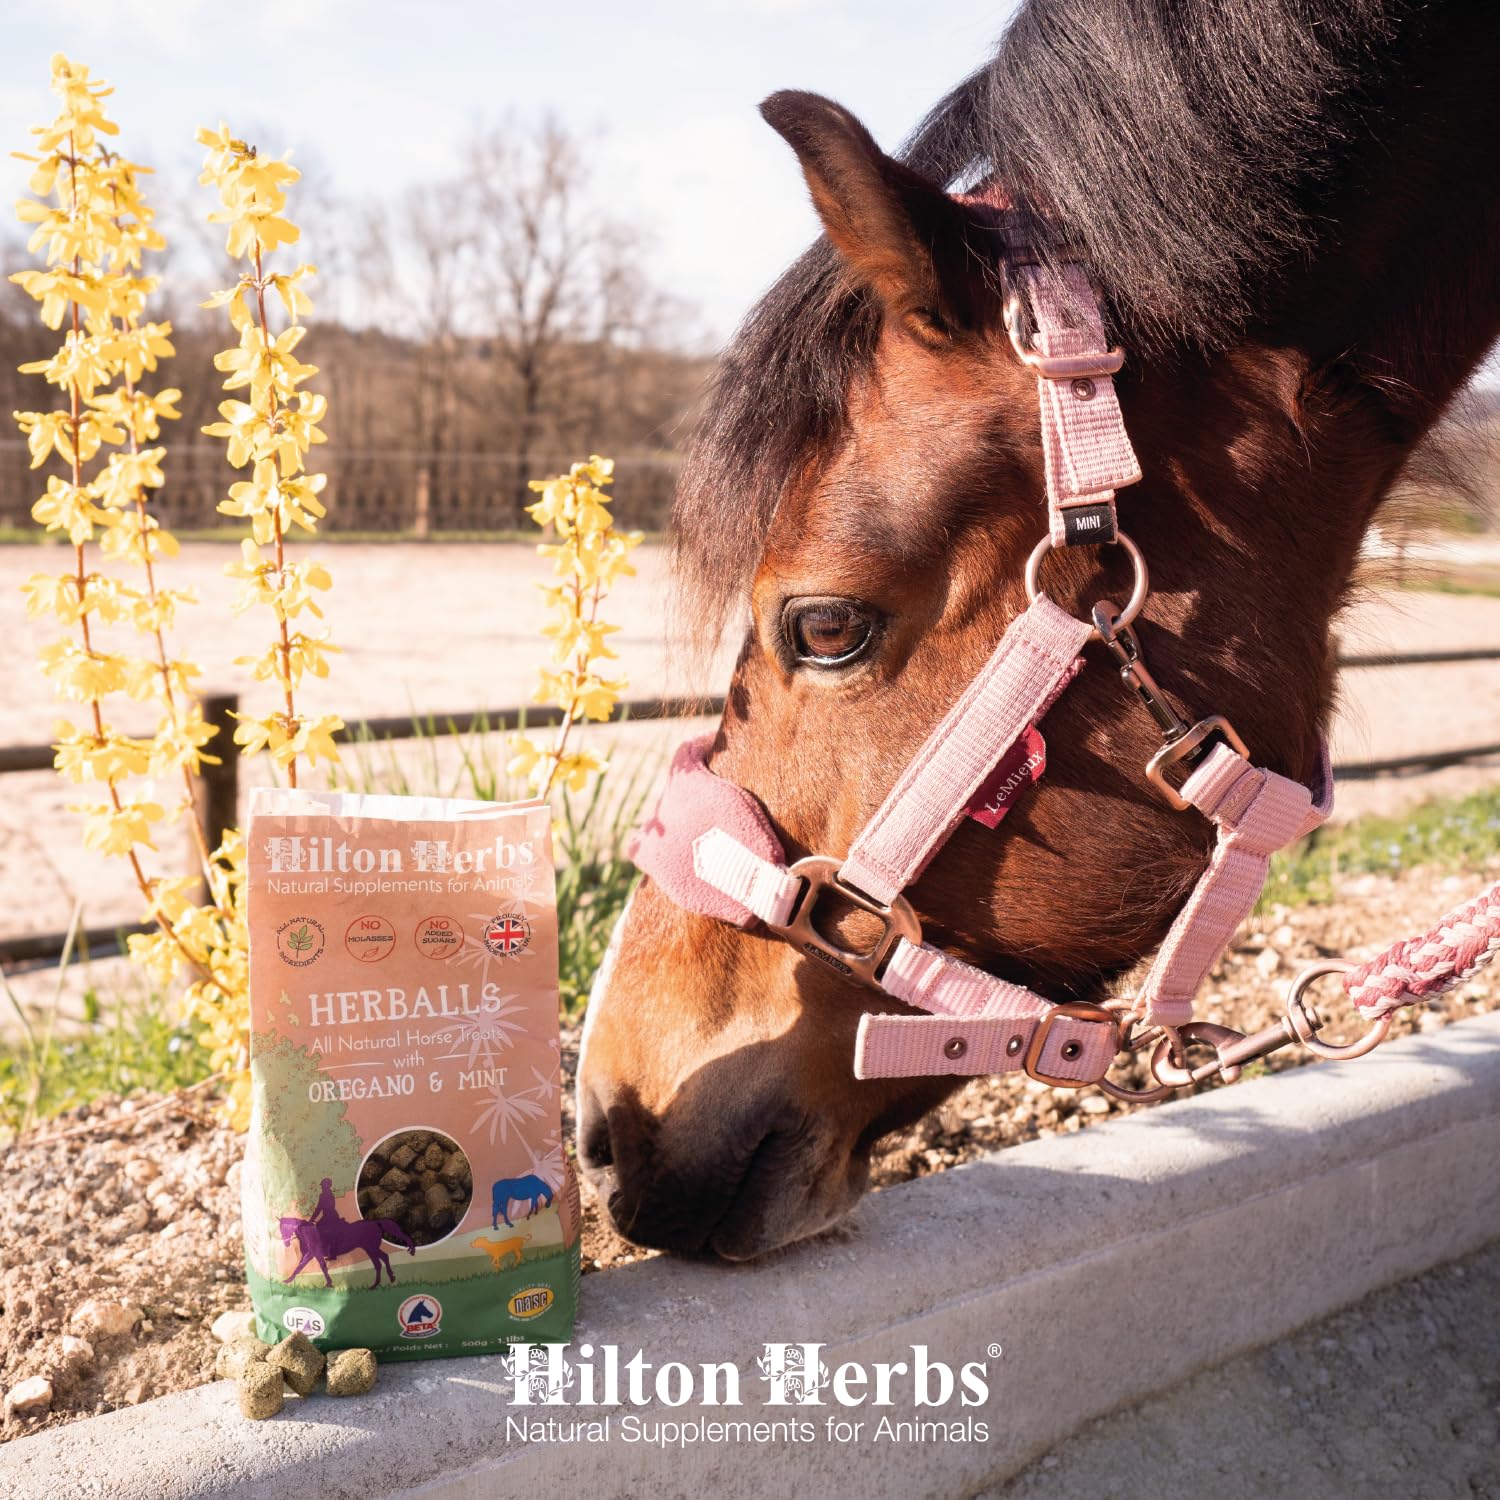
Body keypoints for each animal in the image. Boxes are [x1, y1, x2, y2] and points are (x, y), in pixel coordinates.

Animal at [279, 1213, 415, 1289]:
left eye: (285, 1229)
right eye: (281, 1229)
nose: (286, 1244)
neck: (310, 1233)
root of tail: (375, 1222)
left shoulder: (314, 1254)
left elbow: (319, 1267)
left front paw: (329, 1284)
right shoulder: (310, 1255)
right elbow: (300, 1267)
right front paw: (288, 1280)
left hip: (371, 1248)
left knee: (381, 1261)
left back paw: (380, 1283)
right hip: (370, 1248)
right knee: (382, 1260)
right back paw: (384, 1281)